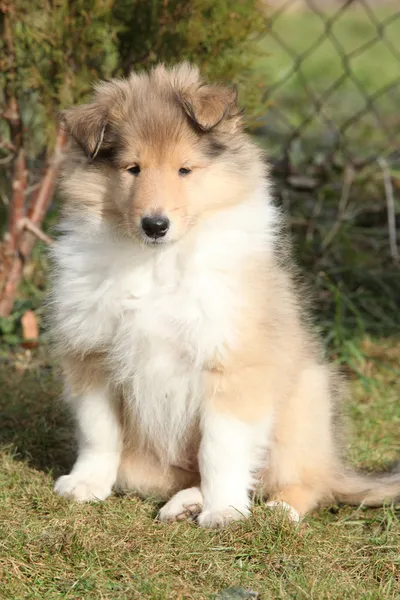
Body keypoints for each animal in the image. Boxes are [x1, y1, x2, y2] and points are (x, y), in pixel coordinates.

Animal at [51, 63, 398, 528]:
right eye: (132, 168)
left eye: (185, 169)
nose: (154, 225)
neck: (158, 262)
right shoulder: (92, 355)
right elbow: (98, 432)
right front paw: (85, 485)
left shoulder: (231, 364)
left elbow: (221, 448)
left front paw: (225, 512)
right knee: (186, 475)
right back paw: (183, 503)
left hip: (304, 402)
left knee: (305, 481)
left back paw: (277, 511)